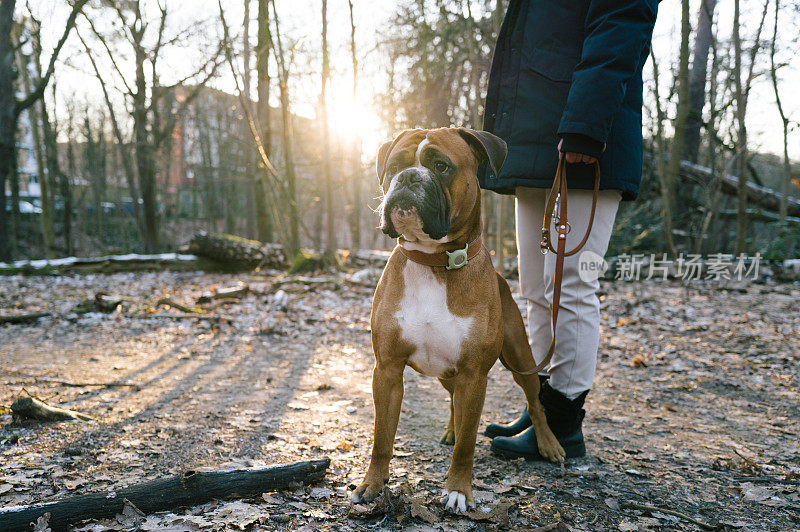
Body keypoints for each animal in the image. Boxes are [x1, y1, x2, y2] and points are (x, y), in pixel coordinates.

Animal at [350, 127, 564, 512]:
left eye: (441, 166)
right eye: (394, 167)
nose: (408, 177)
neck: (433, 261)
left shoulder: (474, 375)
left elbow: (467, 443)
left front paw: (458, 490)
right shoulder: (387, 370)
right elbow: (381, 438)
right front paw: (372, 484)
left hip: (519, 358)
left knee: (534, 401)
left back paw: (548, 443)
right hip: (446, 373)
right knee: (453, 402)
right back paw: (451, 429)